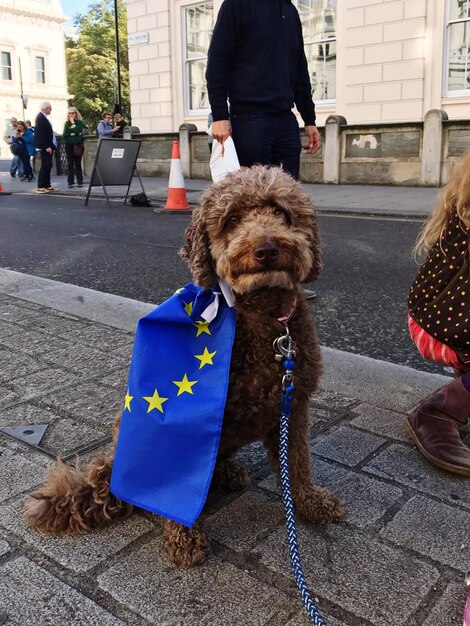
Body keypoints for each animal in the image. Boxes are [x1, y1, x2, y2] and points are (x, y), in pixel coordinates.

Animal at [24, 166, 346, 564]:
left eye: (282, 213)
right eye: (232, 220)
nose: (267, 248)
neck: (262, 319)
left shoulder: (293, 408)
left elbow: (298, 464)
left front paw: (311, 504)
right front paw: (185, 537)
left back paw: (226, 471)